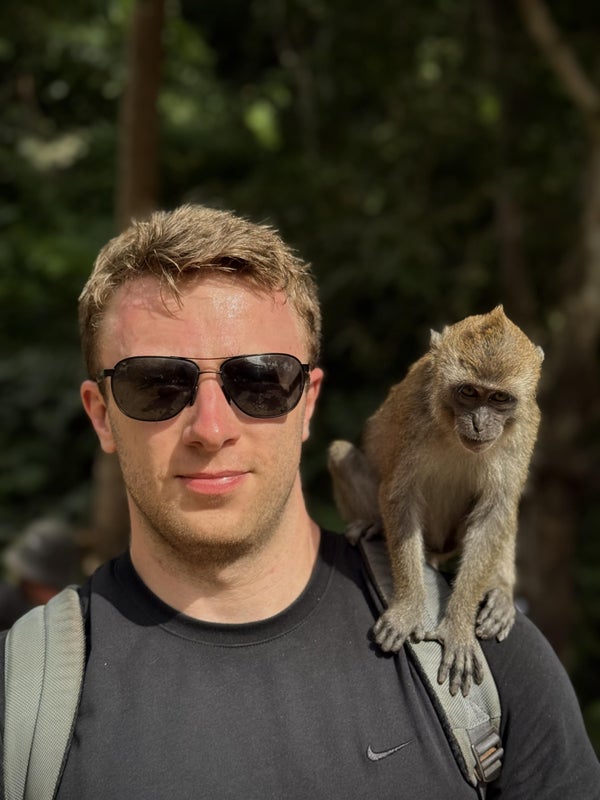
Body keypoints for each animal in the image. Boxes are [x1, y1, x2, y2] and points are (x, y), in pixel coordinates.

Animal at [328, 306, 544, 696]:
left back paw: (501, 592)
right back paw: (372, 524)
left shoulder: (526, 425)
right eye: (469, 391)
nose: (479, 423)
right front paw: (410, 607)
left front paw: (458, 627)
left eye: (499, 399)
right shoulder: (416, 408)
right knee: (340, 454)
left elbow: (495, 513)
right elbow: (400, 496)